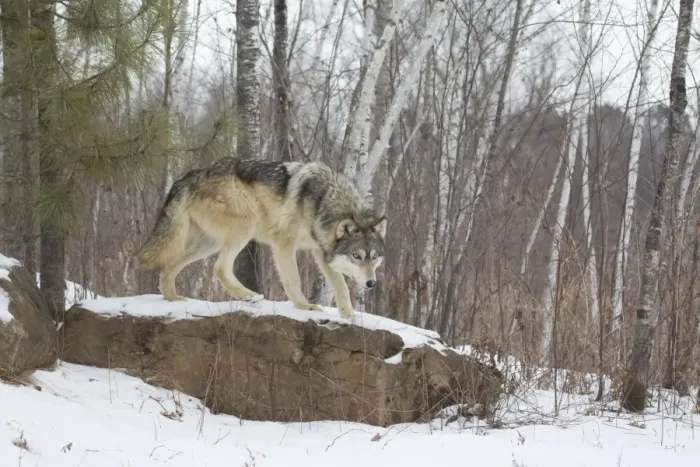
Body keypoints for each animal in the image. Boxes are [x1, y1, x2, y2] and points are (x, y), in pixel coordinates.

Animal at [136, 157, 387, 319]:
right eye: (356, 256)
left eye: (374, 257)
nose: (371, 283)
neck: (323, 201)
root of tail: (191, 174)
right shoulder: (284, 243)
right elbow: (294, 280)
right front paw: (305, 307)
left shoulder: (321, 252)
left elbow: (341, 286)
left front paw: (350, 315)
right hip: (245, 227)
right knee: (219, 268)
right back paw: (249, 296)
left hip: (208, 244)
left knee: (168, 268)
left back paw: (175, 301)